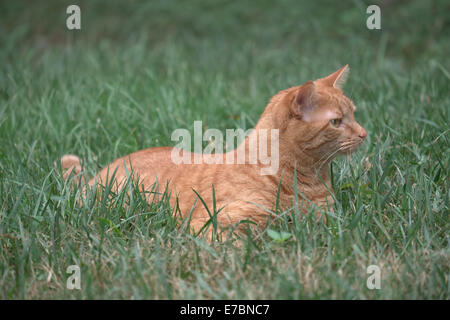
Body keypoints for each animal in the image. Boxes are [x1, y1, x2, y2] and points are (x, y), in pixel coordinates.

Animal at [62, 65, 366, 238]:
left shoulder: (327, 216)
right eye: (337, 122)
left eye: (354, 114)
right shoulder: (216, 221)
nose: (364, 133)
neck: (309, 180)